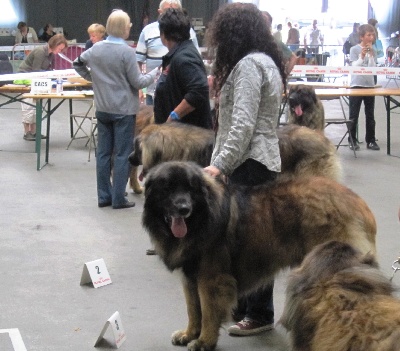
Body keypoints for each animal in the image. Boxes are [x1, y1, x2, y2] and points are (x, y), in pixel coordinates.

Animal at [142, 163, 376, 351]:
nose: (183, 209)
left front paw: (204, 341)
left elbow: (207, 312)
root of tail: (357, 201)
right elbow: (193, 309)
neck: (201, 219)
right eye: (168, 188)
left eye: (190, 189)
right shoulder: (189, 276)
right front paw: (189, 334)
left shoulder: (211, 279)